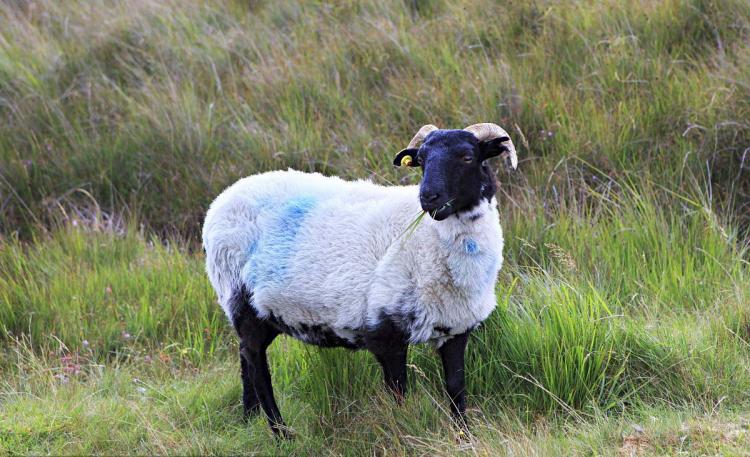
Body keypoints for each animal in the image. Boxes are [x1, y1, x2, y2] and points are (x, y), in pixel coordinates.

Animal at [204, 121, 524, 434]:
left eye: (468, 157)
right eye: (421, 161)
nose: (428, 198)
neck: (429, 241)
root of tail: (223, 198)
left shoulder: (456, 329)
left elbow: (456, 388)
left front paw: (464, 436)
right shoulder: (385, 335)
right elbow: (399, 396)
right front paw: (403, 432)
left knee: (244, 357)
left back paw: (249, 420)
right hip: (241, 300)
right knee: (256, 362)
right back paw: (280, 432)